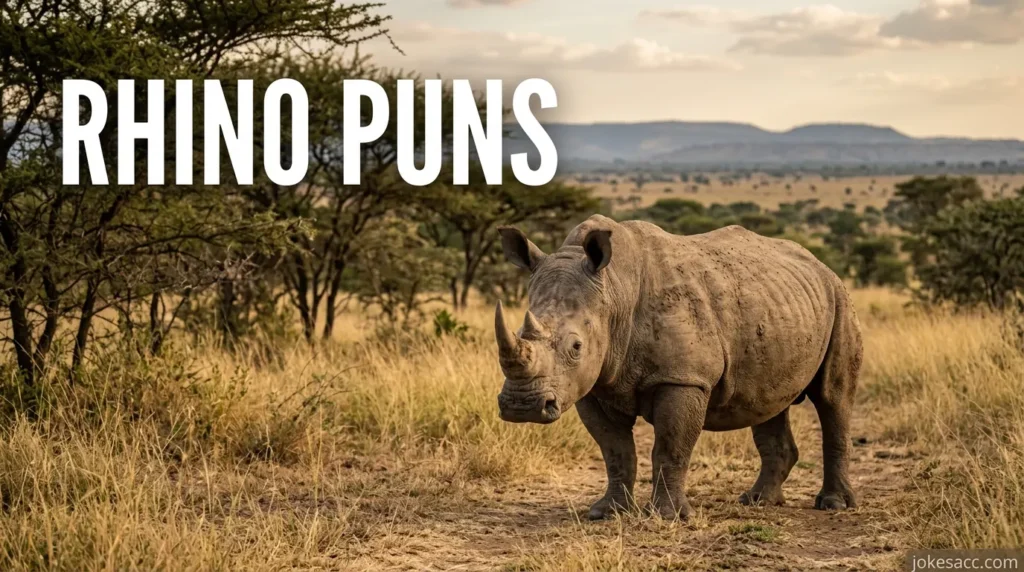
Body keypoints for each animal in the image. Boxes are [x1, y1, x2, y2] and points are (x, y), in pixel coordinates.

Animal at [494, 215, 862, 520]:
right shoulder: (593, 385)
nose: (522, 406)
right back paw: (757, 501)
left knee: (833, 398)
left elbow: (670, 446)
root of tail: (819, 264)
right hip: (777, 306)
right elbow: (615, 450)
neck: (613, 291)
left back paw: (834, 505)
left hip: (840, 297)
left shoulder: (683, 379)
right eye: (519, 332)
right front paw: (607, 513)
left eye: (576, 347)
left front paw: (668, 517)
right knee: (767, 400)